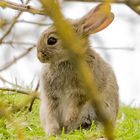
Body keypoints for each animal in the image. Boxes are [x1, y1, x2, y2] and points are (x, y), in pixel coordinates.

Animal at [36, 3, 119, 135]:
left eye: (52, 40)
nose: (38, 55)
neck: (67, 60)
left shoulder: (80, 94)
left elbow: (74, 110)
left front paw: (66, 125)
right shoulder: (50, 96)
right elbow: (51, 112)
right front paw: (52, 132)